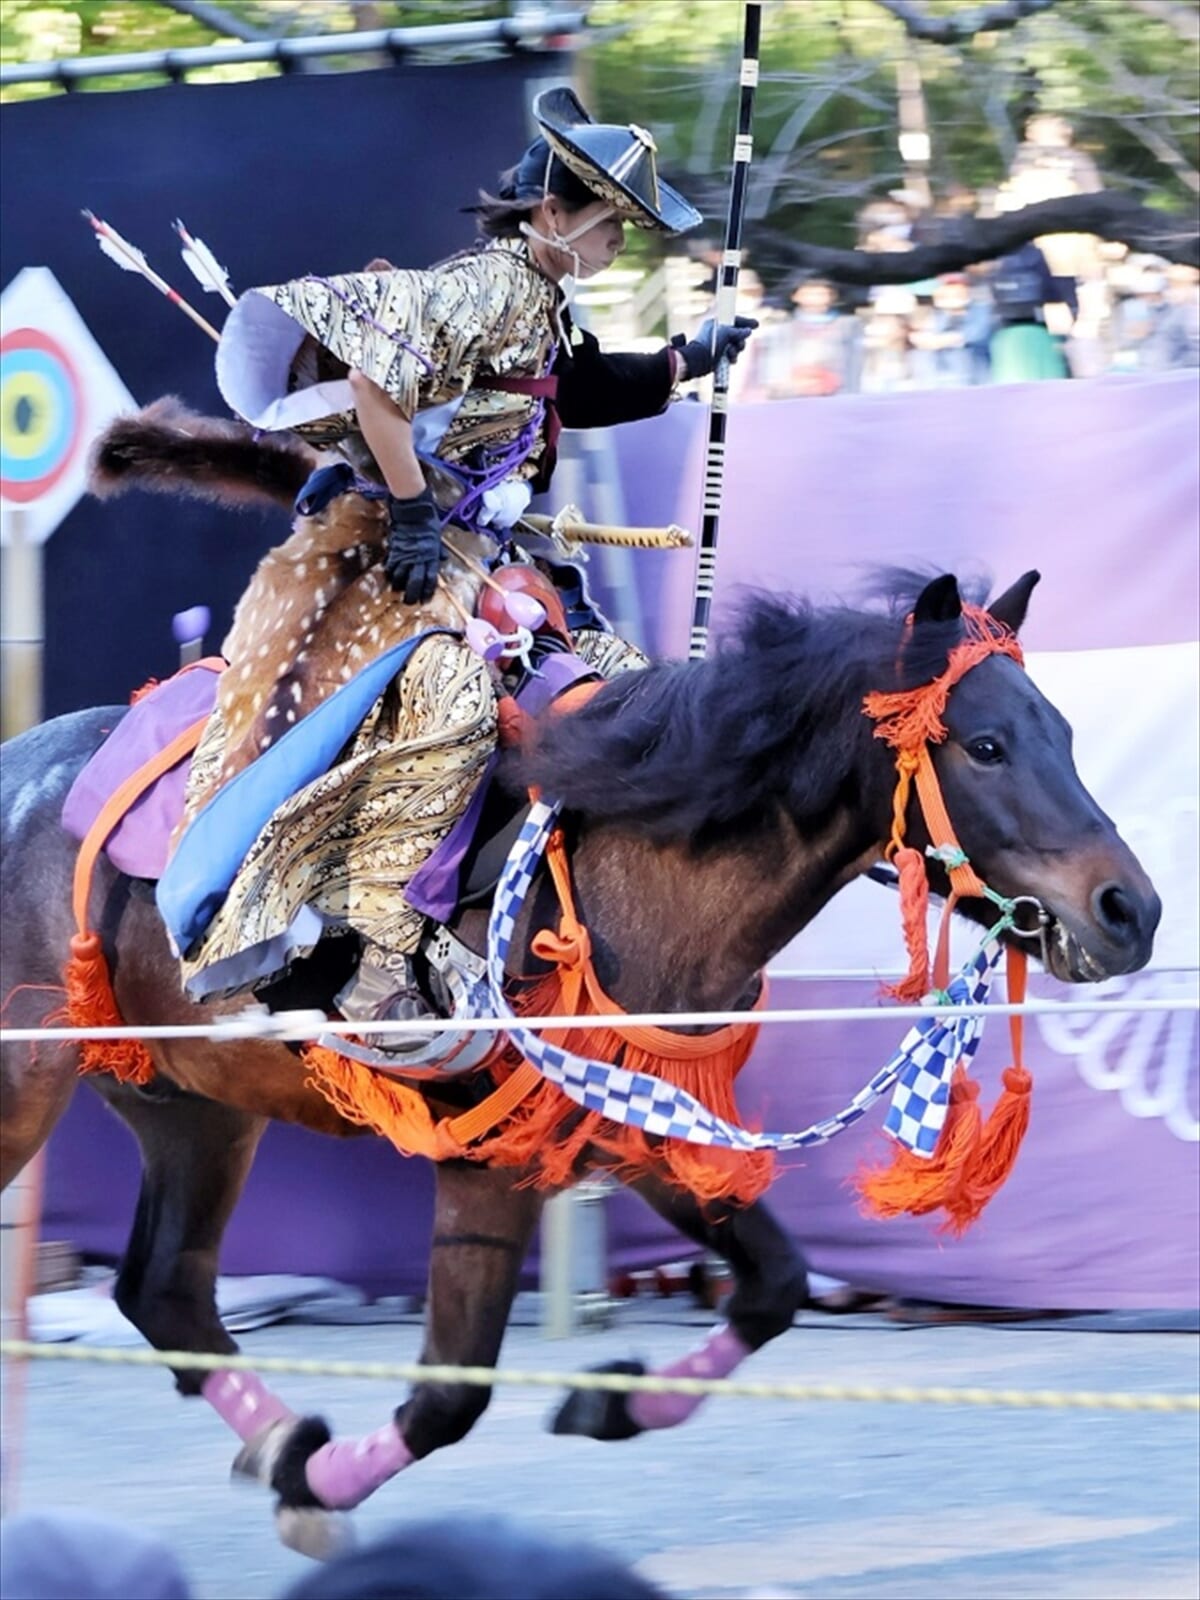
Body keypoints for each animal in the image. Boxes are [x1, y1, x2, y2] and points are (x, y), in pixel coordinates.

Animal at [0, 560, 1164, 1548]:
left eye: (1060, 731)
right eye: (987, 746)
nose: (1132, 910)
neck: (634, 868)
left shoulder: (643, 1124)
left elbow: (774, 1286)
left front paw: (607, 1402)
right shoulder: (489, 1155)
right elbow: (450, 1392)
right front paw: (313, 1482)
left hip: (191, 1102)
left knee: (164, 1289)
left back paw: (277, 1436)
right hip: (30, 1086)